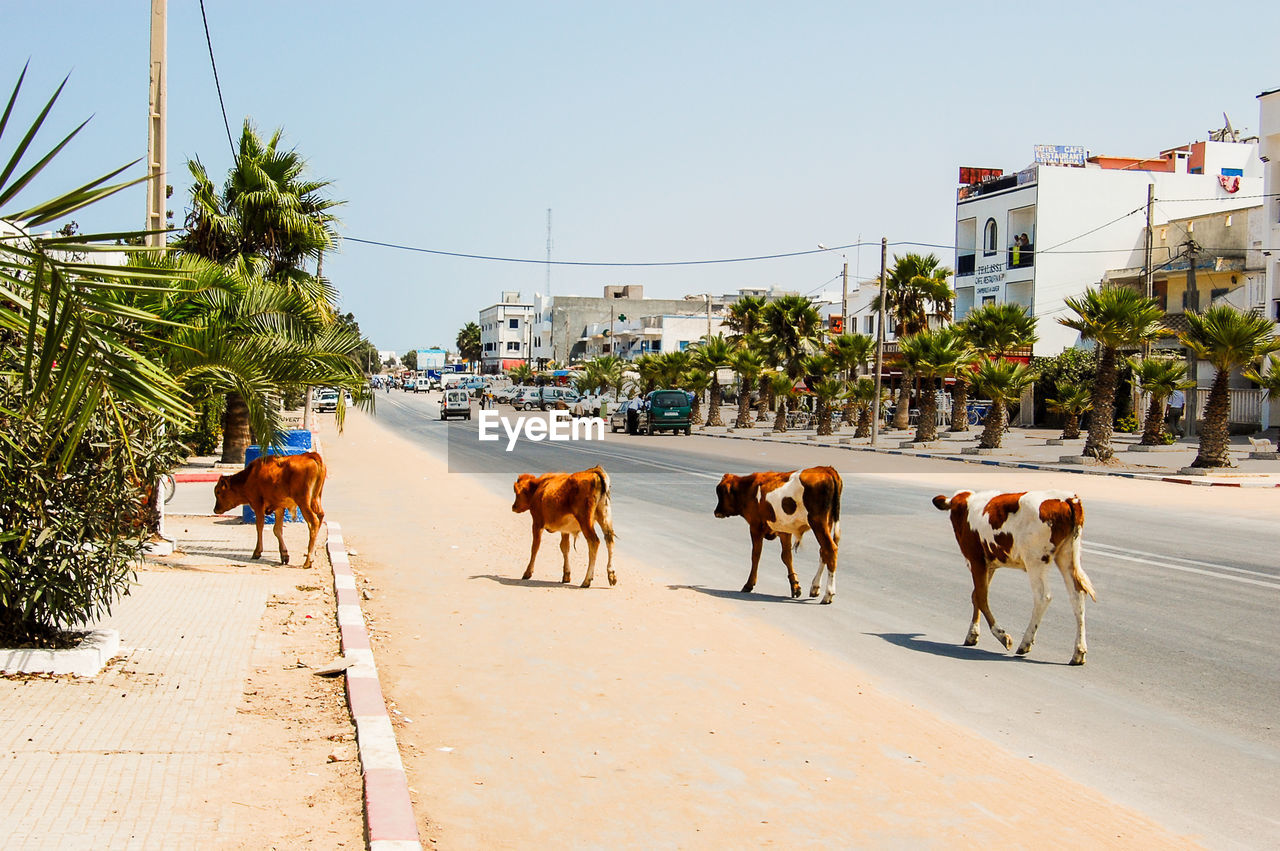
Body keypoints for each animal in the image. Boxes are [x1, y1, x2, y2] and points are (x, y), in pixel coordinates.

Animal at [509, 460, 614, 588]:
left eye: (516, 492)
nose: (513, 506)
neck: (539, 487)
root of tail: (593, 472)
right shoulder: (565, 530)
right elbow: (564, 548)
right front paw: (566, 575)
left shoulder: (537, 523)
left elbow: (535, 547)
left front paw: (528, 572)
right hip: (605, 517)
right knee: (609, 539)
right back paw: (611, 575)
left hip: (585, 521)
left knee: (594, 542)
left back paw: (587, 580)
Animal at [711, 468, 839, 601]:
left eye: (720, 493)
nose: (716, 512)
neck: (749, 488)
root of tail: (826, 469)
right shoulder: (784, 531)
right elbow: (787, 557)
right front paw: (795, 586)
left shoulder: (755, 527)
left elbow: (755, 555)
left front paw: (749, 584)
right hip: (827, 524)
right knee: (824, 552)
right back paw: (815, 587)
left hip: (818, 524)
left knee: (831, 550)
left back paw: (828, 594)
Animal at [931, 491, 1100, 665]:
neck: (965, 505)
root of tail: (1067, 498)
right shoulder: (990, 565)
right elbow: (975, 596)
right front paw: (972, 634)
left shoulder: (976, 560)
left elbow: (981, 597)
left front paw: (1001, 635)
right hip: (1067, 555)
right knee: (1077, 596)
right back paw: (1079, 652)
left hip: (1035, 559)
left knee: (1043, 597)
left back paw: (1025, 643)